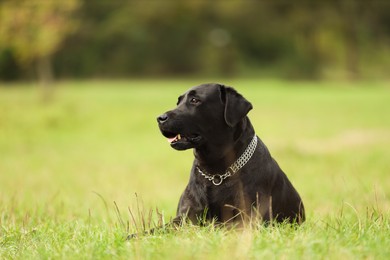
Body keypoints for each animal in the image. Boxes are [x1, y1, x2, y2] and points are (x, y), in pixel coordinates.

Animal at [157, 83, 304, 225]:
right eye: (178, 102)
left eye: (194, 100)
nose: (160, 118)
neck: (214, 172)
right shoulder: (185, 216)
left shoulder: (248, 219)